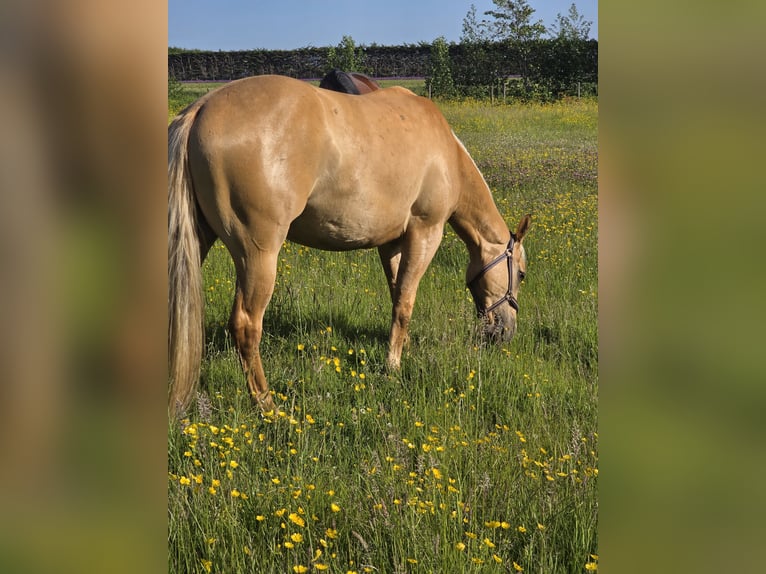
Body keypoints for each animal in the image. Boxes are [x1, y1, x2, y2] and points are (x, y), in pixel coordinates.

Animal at [168, 74, 530, 415]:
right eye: (522, 274)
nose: (506, 333)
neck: (447, 155)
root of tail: (201, 109)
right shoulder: (425, 233)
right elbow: (406, 303)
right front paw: (393, 367)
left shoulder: (392, 244)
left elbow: (398, 296)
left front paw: (400, 350)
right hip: (258, 254)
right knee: (246, 325)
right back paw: (267, 404)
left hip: (200, 241)